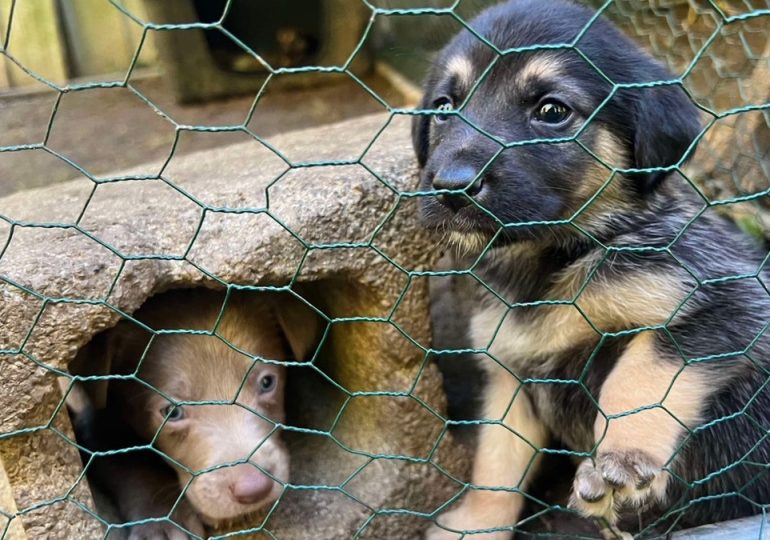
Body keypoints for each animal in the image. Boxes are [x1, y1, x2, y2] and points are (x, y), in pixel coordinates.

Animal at [416, 2, 768, 536]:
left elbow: (641, 372)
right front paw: (477, 523)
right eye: (443, 107)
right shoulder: (510, 376)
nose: (450, 187)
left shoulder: (730, 301)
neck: (552, 263)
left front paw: (622, 459)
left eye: (552, 111)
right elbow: (496, 463)